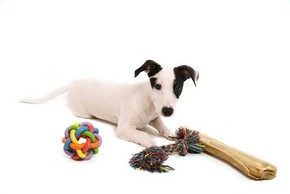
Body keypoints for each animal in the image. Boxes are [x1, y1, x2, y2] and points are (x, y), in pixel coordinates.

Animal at [21, 60, 199, 147]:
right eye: (157, 86)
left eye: (177, 87)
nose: (168, 111)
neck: (147, 102)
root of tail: (72, 84)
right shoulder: (124, 128)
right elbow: (141, 134)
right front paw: (151, 143)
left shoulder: (155, 116)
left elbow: (160, 124)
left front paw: (170, 132)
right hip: (84, 112)